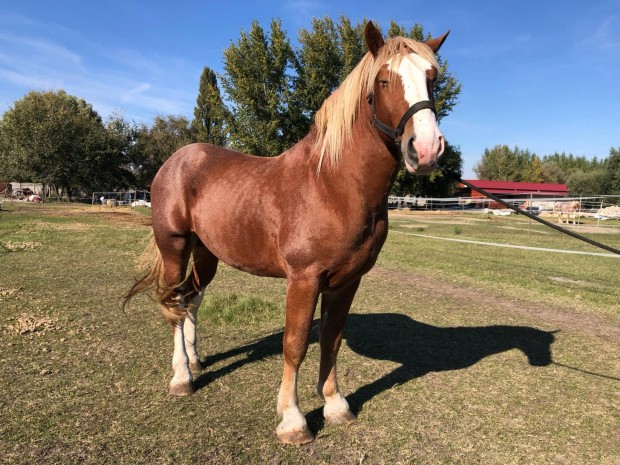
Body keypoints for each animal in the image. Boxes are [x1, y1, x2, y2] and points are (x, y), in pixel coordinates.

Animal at [123, 21, 448, 442]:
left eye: (432, 78)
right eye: (384, 80)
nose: (425, 150)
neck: (333, 184)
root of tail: (175, 160)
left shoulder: (347, 281)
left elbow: (331, 340)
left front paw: (335, 405)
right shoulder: (304, 279)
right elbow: (295, 344)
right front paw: (292, 420)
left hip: (206, 253)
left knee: (192, 299)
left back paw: (195, 361)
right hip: (174, 247)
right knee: (175, 305)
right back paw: (181, 378)